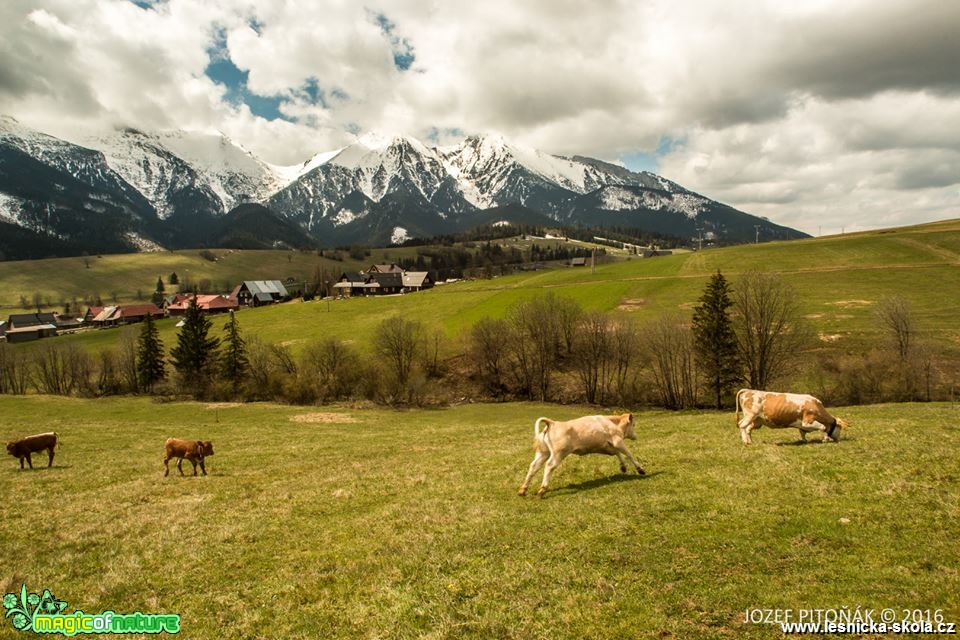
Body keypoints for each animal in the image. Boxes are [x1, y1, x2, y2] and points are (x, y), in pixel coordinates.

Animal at [516, 412, 644, 498]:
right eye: (634, 424)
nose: (636, 436)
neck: (612, 423)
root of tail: (553, 423)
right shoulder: (617, 441)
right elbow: (629, 454)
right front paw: (640, 469)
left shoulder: (607, 446)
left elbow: (618, 453)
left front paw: (623, 467)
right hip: (558, 454)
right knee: (549, 466)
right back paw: (542, 490)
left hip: (543, 453)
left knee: (534, 466)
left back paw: (523, 490)